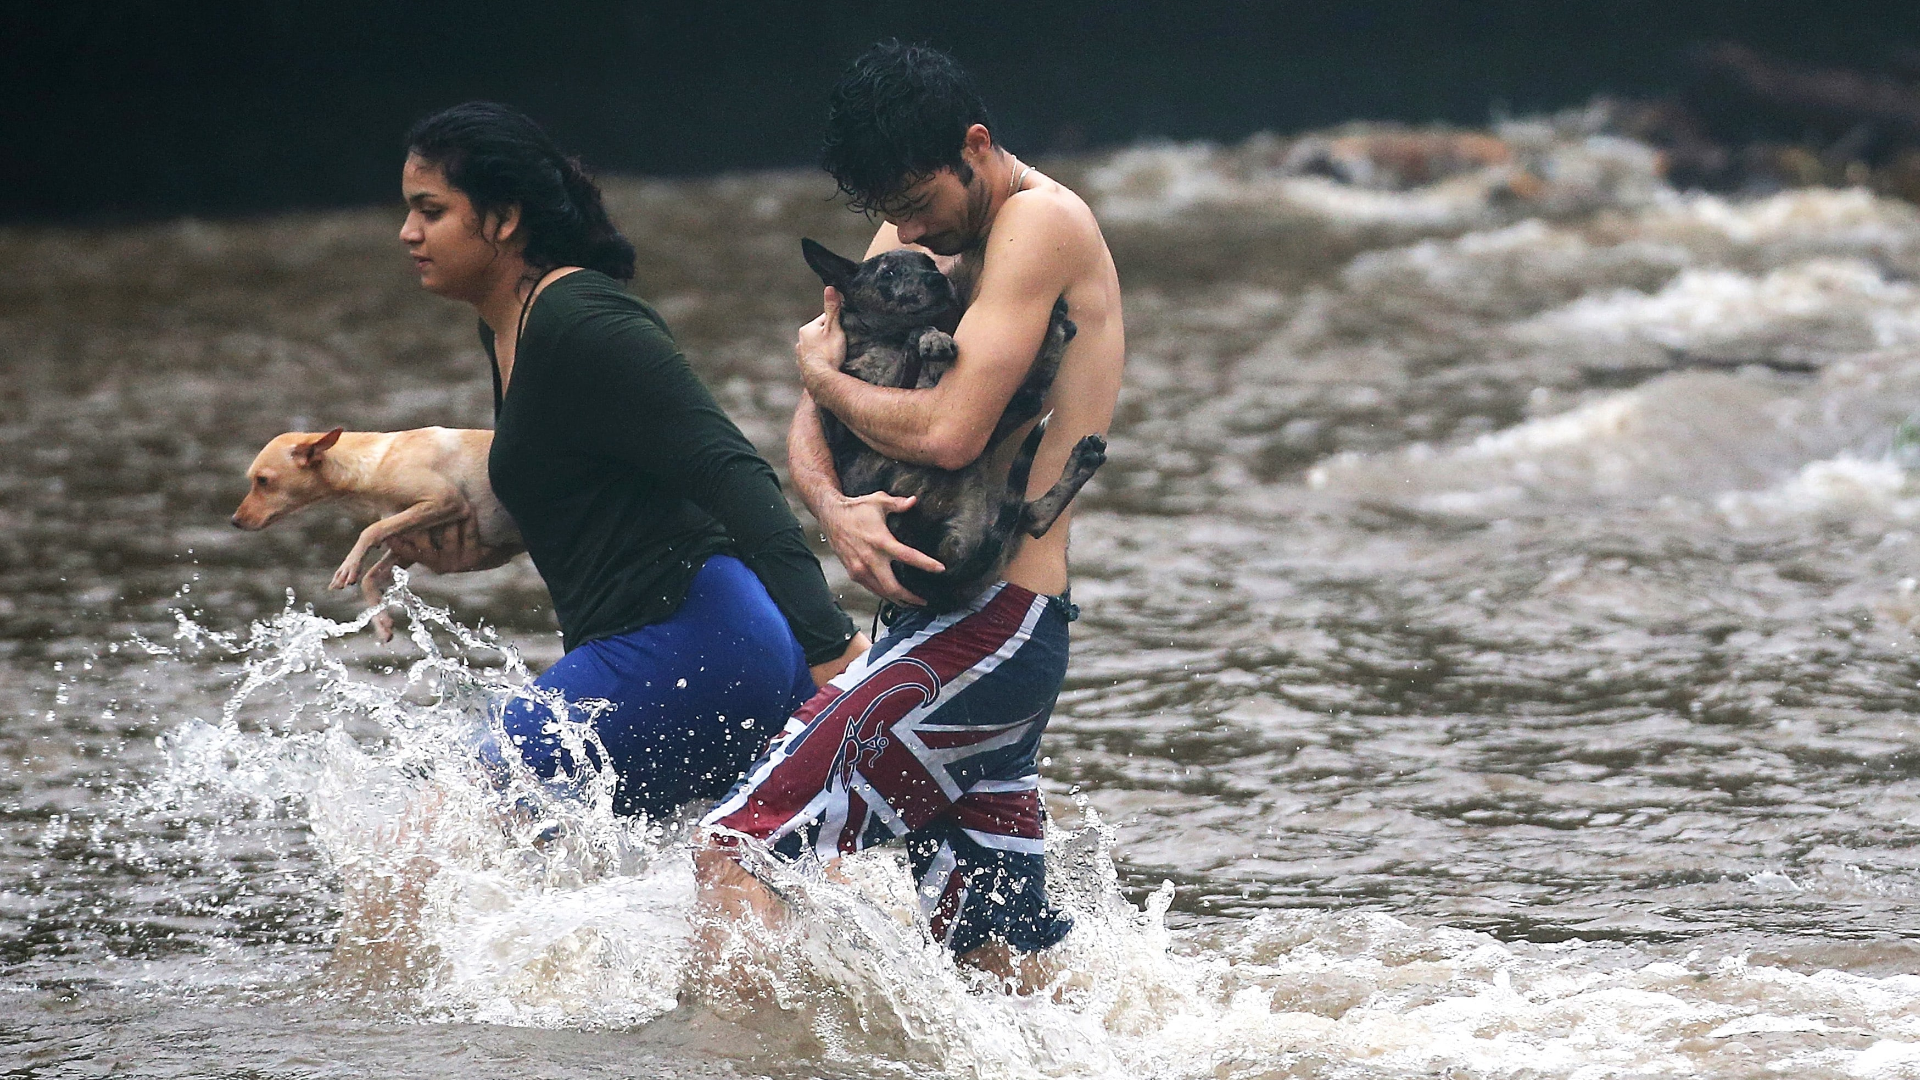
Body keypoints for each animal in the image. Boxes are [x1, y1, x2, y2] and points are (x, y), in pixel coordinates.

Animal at [228, 422, 522, 638]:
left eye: (262, 481)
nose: (234, 520)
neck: (376, 462)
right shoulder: (410, 543)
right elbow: (370, 576)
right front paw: (381, 622)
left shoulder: (445, 501)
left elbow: (370, 531)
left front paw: (348, 566)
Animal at [798, 238, 1113, 611]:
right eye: (887, 273)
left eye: (930, 264)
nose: (937, 281)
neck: (879, 337)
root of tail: (939, 580)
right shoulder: (884, 392)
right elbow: (917, 333)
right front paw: (931, 338)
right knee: (1028, 405)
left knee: (1031, 514)